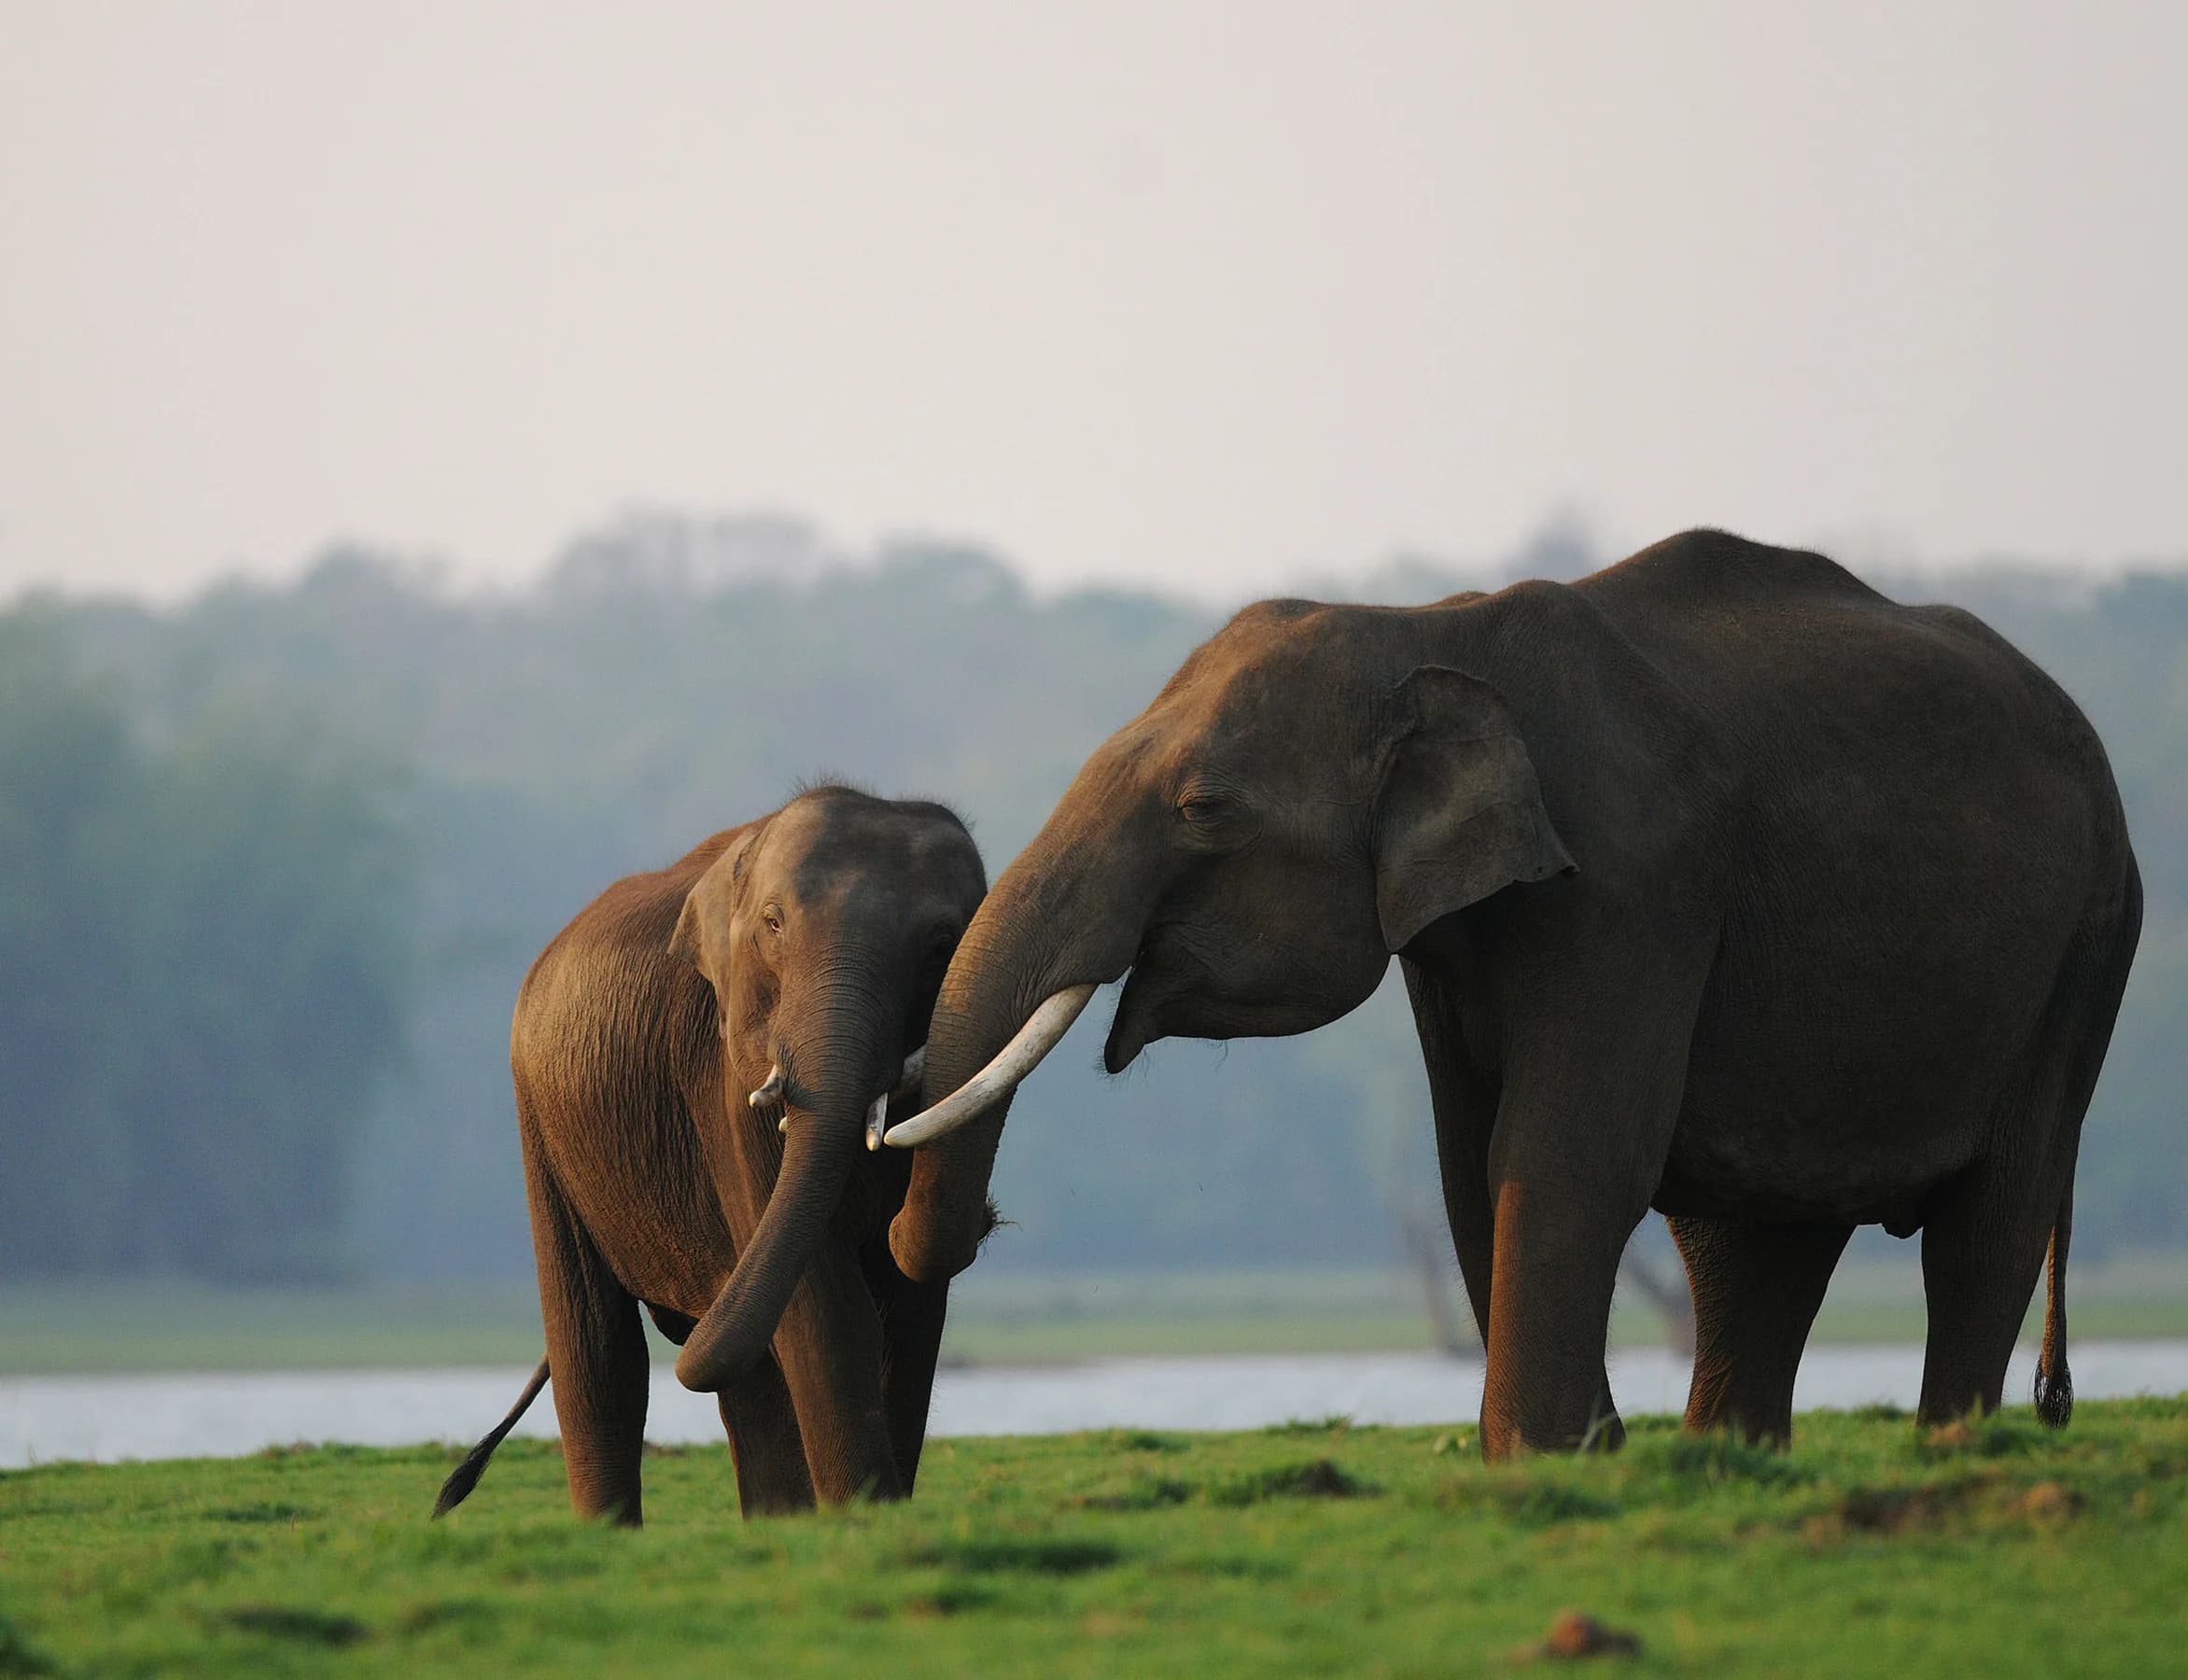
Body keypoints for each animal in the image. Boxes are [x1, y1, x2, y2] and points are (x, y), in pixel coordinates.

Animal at [434, 786, 987, 1523]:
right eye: (774, 925)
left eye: (939, 947)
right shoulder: (721, 1081)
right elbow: (823, 1301)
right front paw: (865, 1519)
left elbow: (908, 1301)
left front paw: (873, 1520)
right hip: (539, 1122)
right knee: (600, 1353)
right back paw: (609, 1533)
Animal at [880, 529, 2142, 1460]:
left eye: (1204, 809)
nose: (961, 1228)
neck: (1431, 627)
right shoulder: (1453, 938)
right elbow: (1467, 1161)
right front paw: (1585, 1456)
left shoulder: (1635, 884)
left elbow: (1567, 1153)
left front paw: (1542, 1460)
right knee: (1748, 1246)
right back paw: (1719, 1468)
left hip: (2087, 948)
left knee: (1988, 1218)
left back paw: (1951, 1450)